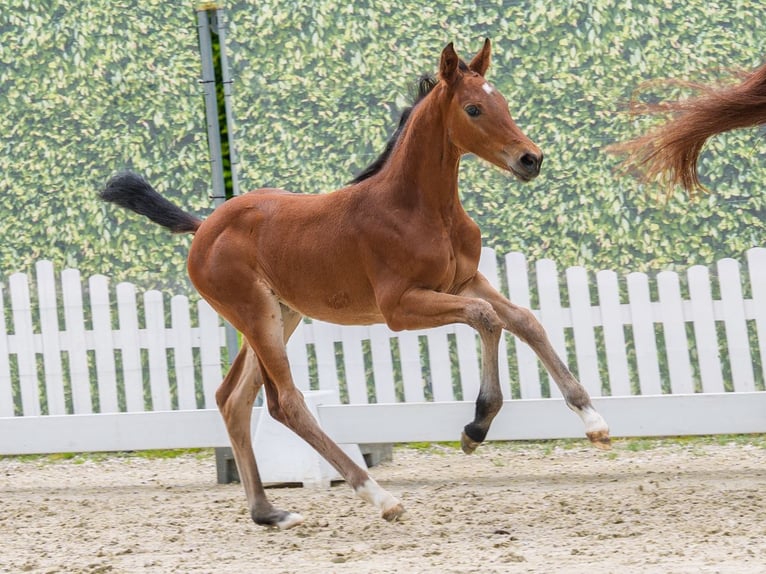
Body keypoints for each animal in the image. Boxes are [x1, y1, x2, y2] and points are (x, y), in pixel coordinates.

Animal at [100, 40, 610, 530]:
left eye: (501, 101)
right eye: (473, 109)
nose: (531, 159)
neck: (421, 207)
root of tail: (204, 225)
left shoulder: (465, 282)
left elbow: (525, 320)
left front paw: (594, 421)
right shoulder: (400, 307)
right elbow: (487, 320)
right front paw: (475, 427)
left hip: (279, 315)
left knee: (233, 398)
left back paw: (268, 512)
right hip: (256, 315)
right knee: (285, 403)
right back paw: (380, 497)